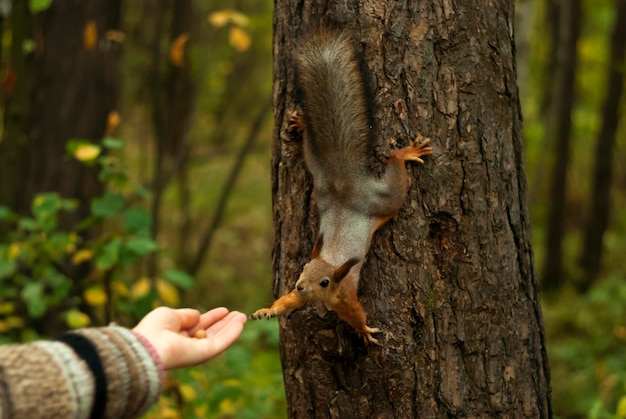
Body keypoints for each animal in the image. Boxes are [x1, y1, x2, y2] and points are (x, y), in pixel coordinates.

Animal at [249, 28, 428, 344]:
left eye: (324, 281)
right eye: (303, 269)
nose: (300, 285)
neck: (333, 268)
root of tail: (345, 183)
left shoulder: (345, 296)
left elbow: (355, 314)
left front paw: (364, 330)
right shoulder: (300, 294)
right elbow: (287, 302)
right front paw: (268, 310)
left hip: (386, 198)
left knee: (395, 174)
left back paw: (405, 153)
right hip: (316, 166)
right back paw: (302, 125)